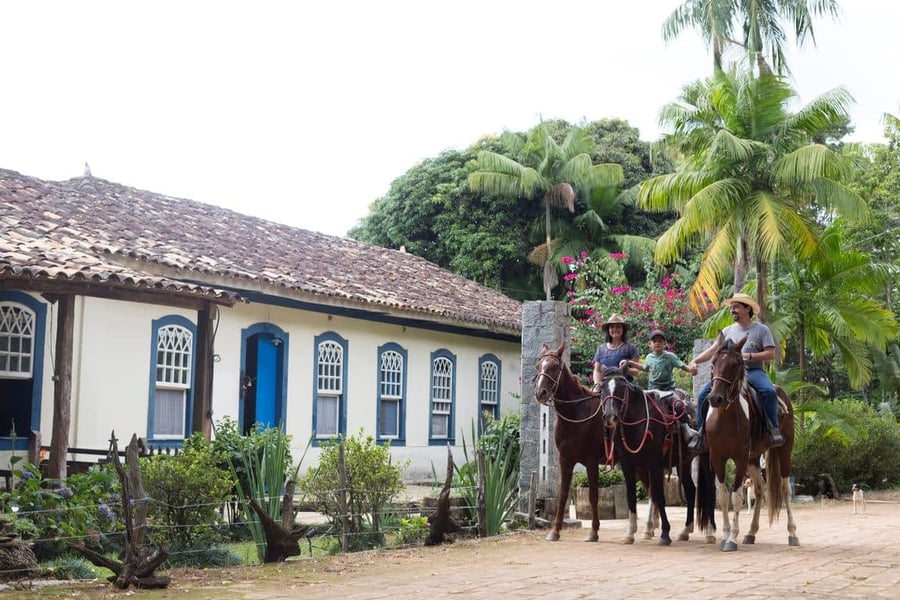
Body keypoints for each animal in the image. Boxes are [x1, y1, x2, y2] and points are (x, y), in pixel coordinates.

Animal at [536, 342, 604, 544]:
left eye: (554, 367)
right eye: (538, 366)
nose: (540, 392)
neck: (577, 413)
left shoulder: (591, 461)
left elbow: (593, 495)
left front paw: (594, 531)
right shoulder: (565, 460)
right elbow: (563, 495)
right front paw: (555, 531)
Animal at [708, 332, 800, 552]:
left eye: (735, 364)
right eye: (713, 362)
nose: (715, 398)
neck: (725, 417)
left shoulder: (740, 458)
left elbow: (736, 497)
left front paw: (732, 538)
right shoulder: (717, 457)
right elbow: (723, 497)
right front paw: (725, 535)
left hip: (784, 451)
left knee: (785, 489)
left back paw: (792, 533)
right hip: (754, 457)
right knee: (759, 490)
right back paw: (751, 532)